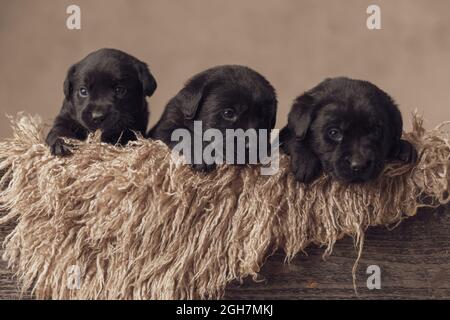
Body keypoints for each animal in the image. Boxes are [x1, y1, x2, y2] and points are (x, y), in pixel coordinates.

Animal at [282, 76, 418, 184]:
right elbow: (294, 138)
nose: (359, 165)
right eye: (334, 133)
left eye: (376, 131)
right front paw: (305, 163)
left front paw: (403, 147)